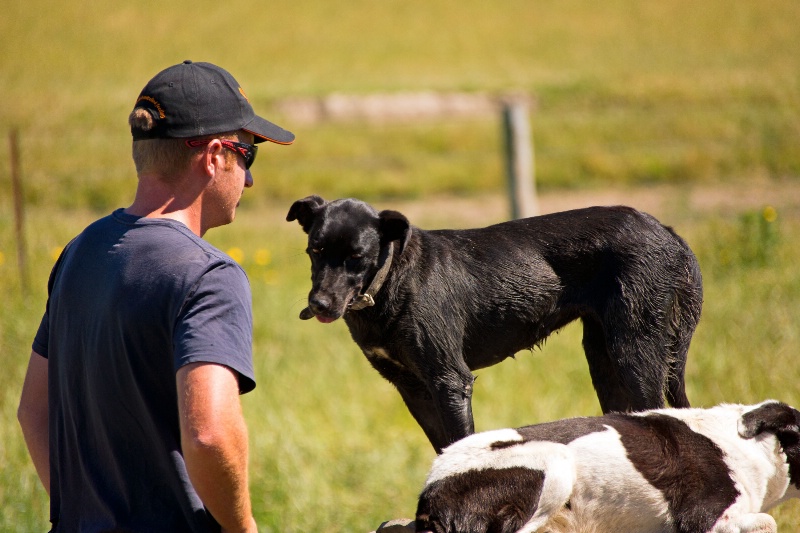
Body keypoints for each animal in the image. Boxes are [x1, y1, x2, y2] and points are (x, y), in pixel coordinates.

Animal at [286, 197, 700, 450]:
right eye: (314, 250)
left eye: (357, 257)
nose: (319, 303)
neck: (391, 280)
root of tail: (668, 233)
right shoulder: (413, 388)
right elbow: (441, 447)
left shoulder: (450, 381)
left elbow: (457, 443)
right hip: (604, 359)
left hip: (636, 352)